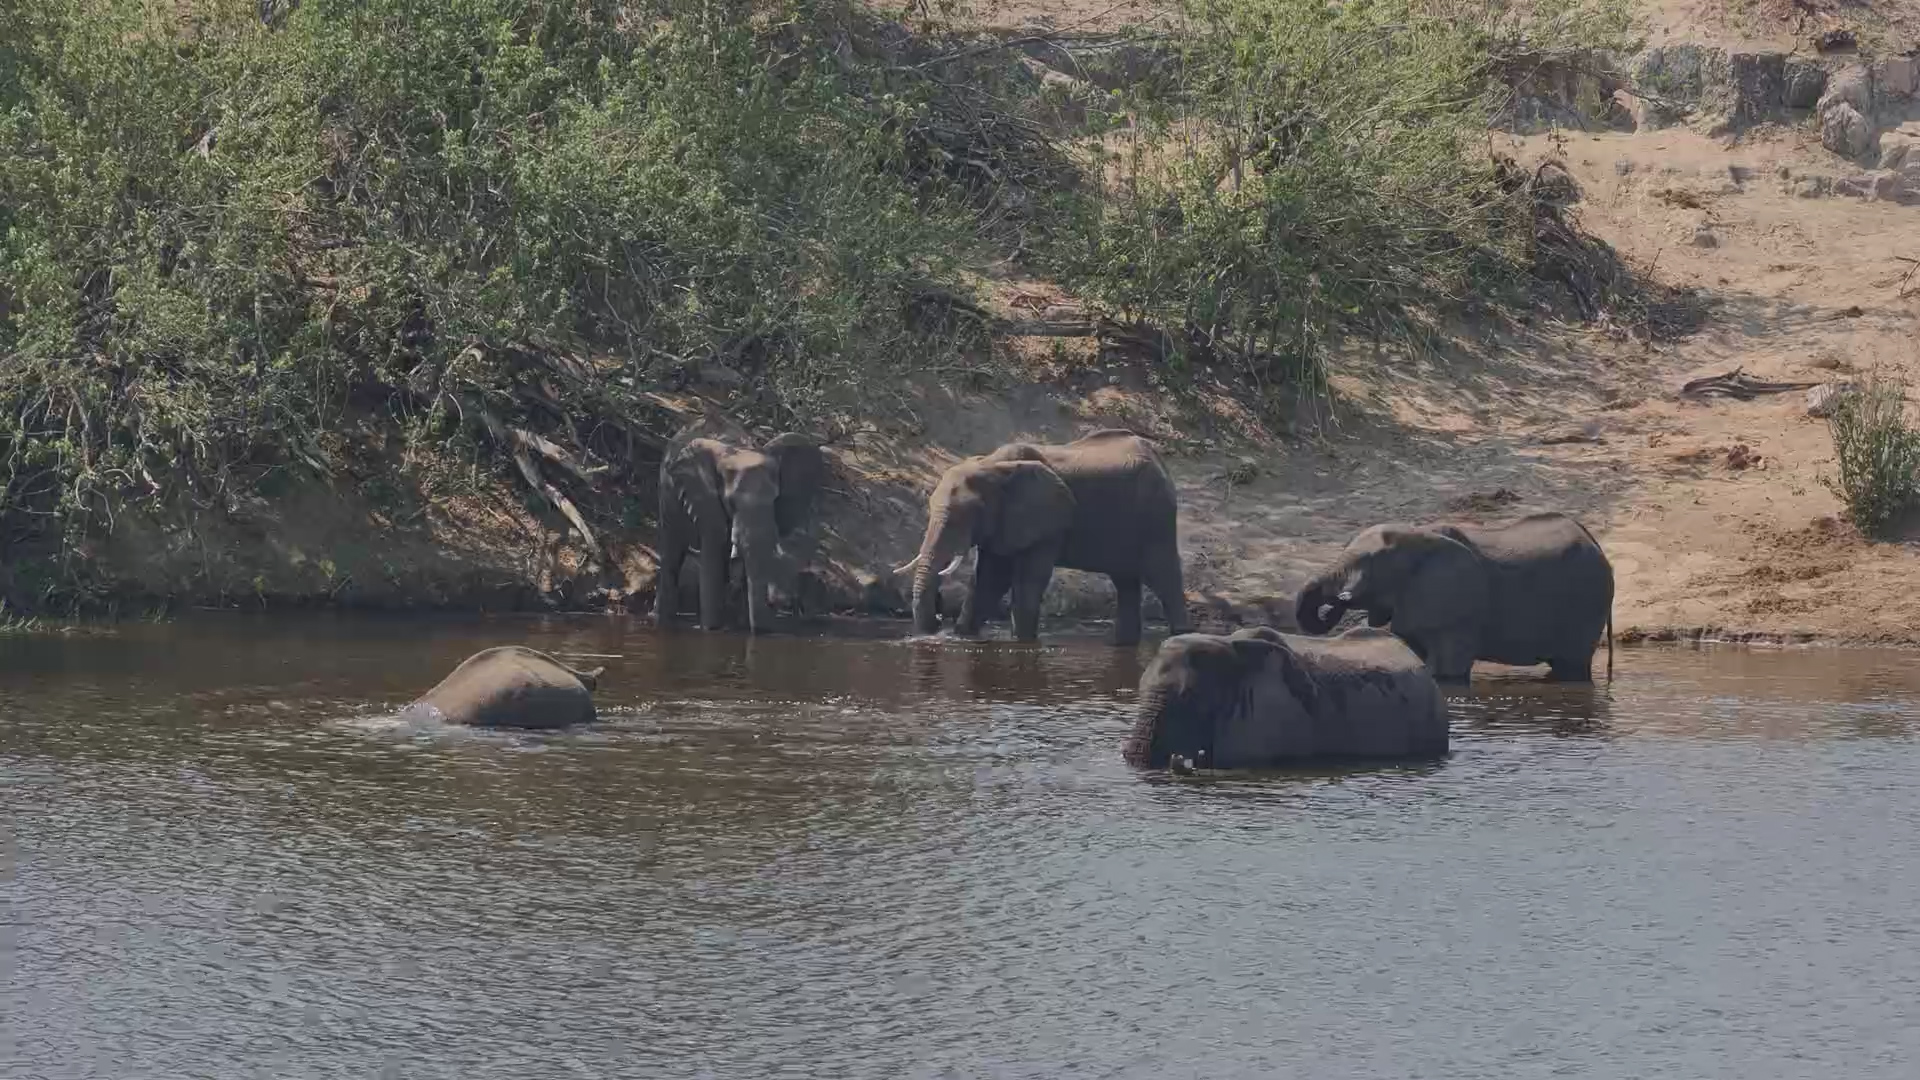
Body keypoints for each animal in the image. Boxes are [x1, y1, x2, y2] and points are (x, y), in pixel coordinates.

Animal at [653, 426, 826, 634]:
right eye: (731, 503)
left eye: (775, 499)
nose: (779, 603)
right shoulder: (705, 499)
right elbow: (713, 555)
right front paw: (712, 630)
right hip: (666, 494)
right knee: (672, 552)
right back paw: (662, 620)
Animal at [893, 429, 1189, 645]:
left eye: (965, 516)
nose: (937, 622)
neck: (991, 466)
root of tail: (1158, 458)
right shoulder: (1003, 522)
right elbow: (989, 579)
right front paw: (963, 636)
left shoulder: (1048, 521)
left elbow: (1026, 579)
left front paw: (1022, 642)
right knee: (1126, 580)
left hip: (1156, 516)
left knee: (1162, 576)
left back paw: (1182, 638)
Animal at [1293, 511, 1614, 684]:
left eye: (1369, 562)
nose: (1337, 601)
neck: (1415, 536)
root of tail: (1594, 542)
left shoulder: (1455, 607)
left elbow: (1449, 670)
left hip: (1588, 601)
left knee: (1571, 666)